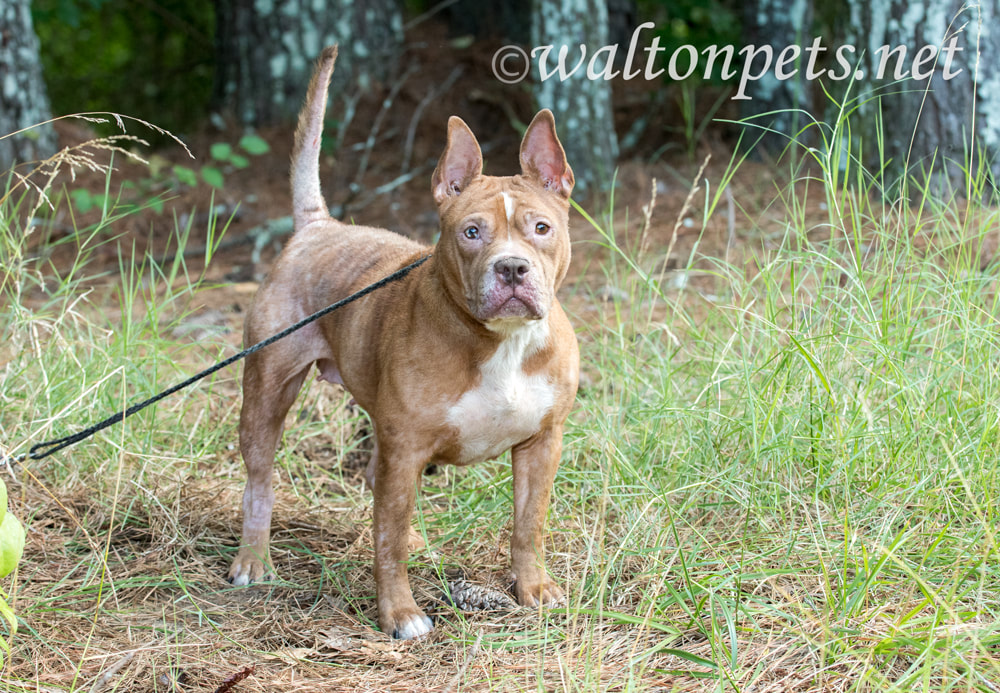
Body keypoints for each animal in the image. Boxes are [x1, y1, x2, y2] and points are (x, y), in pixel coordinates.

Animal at [226, 44, 580, 636]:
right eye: (471, 232)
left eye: (541, 229)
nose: (512, 268)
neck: (499, 343)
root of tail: (318, 226)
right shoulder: (408, 444)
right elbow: (386, 543)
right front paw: (400, 613)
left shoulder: (541, 443)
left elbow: (528, 524)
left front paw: (533, 588)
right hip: (268, 392)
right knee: (261, 479)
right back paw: (253, 559)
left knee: (380, 486)